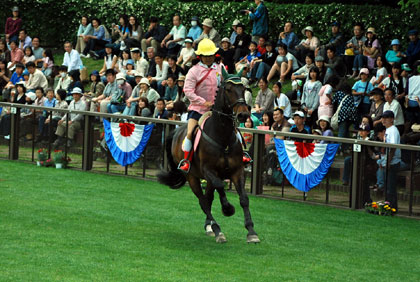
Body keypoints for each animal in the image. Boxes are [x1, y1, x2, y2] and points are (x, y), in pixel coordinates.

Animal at [158, 71, 260, 243]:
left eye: (244, 89)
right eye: (228, 89)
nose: (243, 114)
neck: (222, 137)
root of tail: (177, 131)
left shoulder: (237, 171)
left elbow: (244, 199)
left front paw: (251, 231)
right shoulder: (209, 171)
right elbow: (220, 187)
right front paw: (227, 209)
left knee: (208, 198)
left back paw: (210, 227)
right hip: (192, 177)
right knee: (203, 201)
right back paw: (217, 229)